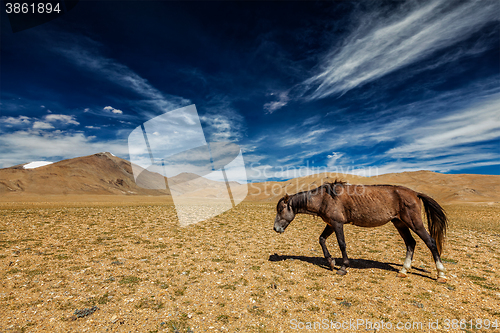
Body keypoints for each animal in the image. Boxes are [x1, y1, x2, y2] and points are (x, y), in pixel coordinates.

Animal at [274, 180, 450, 282]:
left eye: (281, 209)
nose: (276, 228)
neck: (324, 198)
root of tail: (415, 193)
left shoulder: (337, 223)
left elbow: (342, 244)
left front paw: (343, 268)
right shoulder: (330, 224)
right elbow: (321, 239)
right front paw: (331, 262)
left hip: (414, 222)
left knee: (430, 242)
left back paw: (441, 274)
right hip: (399, 222)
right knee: (411, 243)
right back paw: (403, 270)